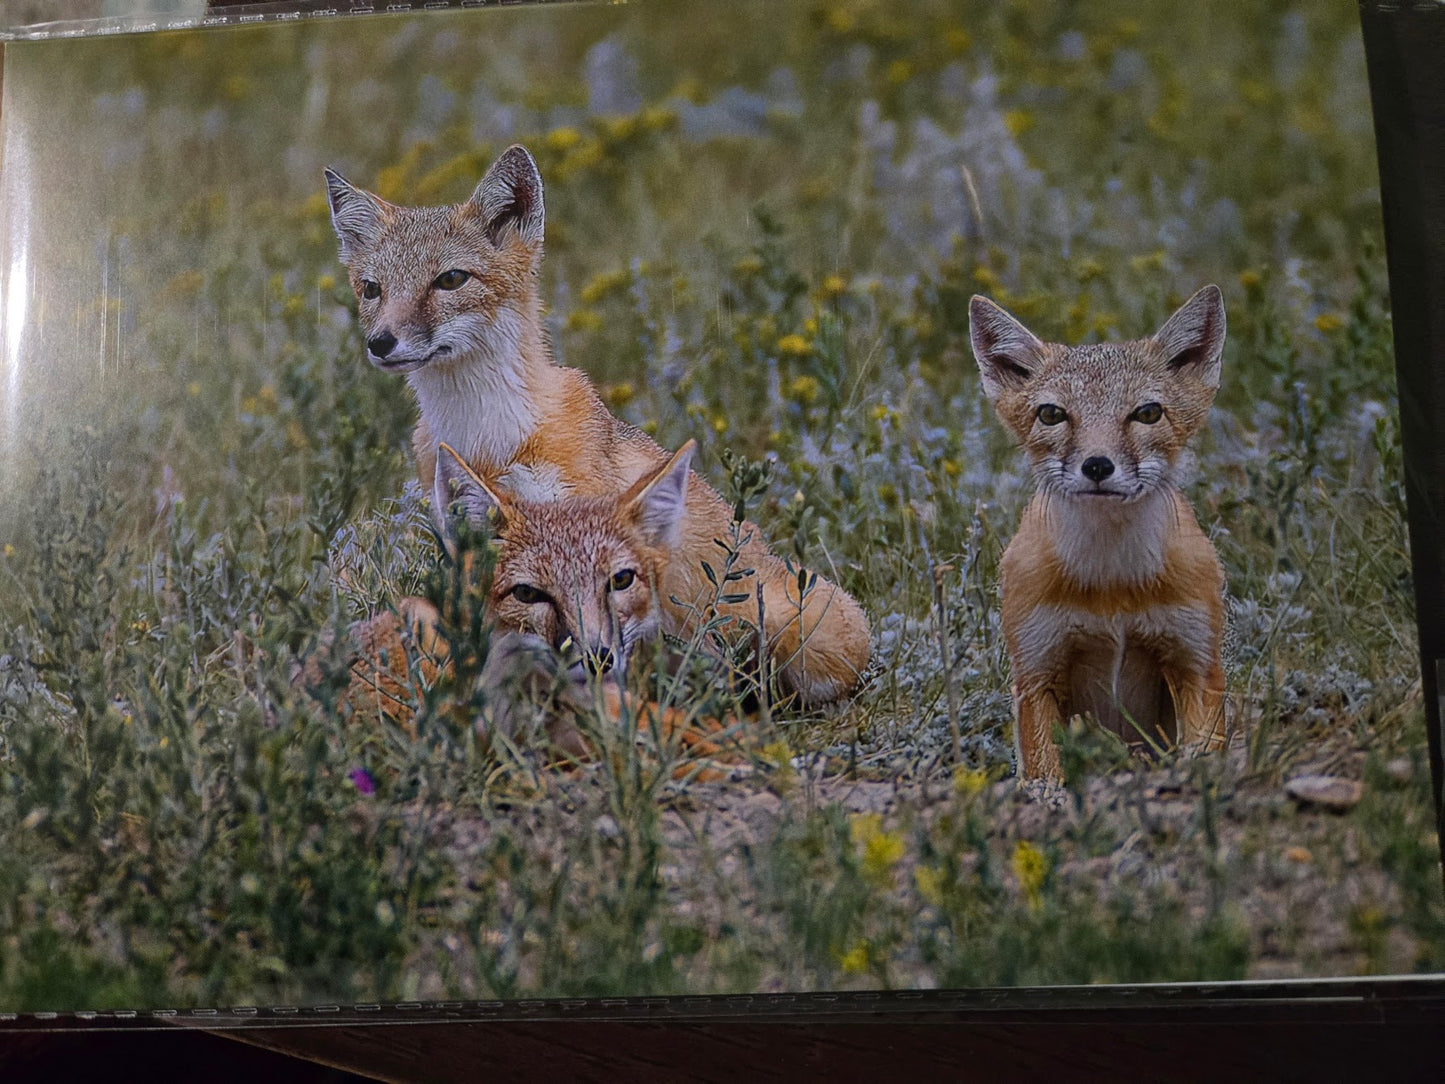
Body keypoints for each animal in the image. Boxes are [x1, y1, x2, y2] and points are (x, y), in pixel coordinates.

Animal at [970, 285, 1230, 781]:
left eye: (1147, 413)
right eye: (1052, 414)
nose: (1096, 465)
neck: (1113, 583)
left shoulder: (1196, 662)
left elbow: (1203, 752)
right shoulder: (1036, 671)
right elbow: (1044, 773)